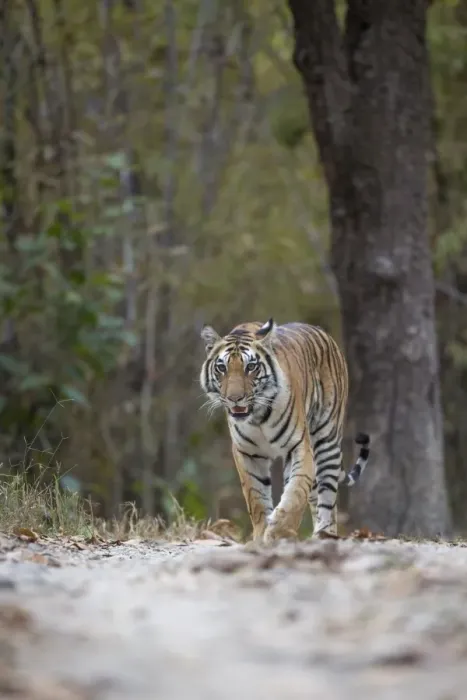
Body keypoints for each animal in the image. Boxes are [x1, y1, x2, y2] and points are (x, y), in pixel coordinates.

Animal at [199, 318, 370, 544]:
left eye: (251, 367)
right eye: (221, 368)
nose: (234, 398)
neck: (257, 417)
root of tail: (323, 333)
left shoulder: (299, 446)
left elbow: (295, 491)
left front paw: (278, 531)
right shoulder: (247, 453)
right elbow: (256, 498)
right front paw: (262, 534)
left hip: (327, 441)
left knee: (327, 497)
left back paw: (324, 535)